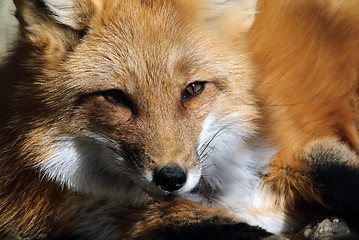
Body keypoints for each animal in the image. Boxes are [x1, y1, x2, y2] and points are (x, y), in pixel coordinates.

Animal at [0, 0, 359, 240]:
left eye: (193, 89)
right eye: (115, 97)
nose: (171, 177)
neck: (219, 187)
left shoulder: (288, 143)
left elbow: (338, 172)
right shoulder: (123, 218)